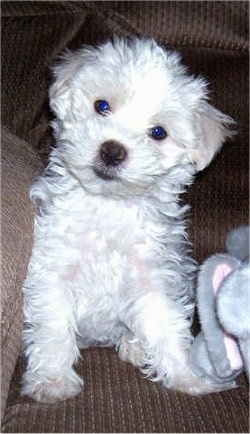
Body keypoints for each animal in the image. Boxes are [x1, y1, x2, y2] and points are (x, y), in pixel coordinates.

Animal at [20, 38, 233, 404]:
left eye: (158, 132)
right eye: (101, 106)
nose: (112, 150)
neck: (110, 206)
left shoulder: (154, 279)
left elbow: (167, 326)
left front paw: (188, 377)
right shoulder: (53, 272)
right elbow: (53, 328)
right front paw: (53, 381)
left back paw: (136, 346)